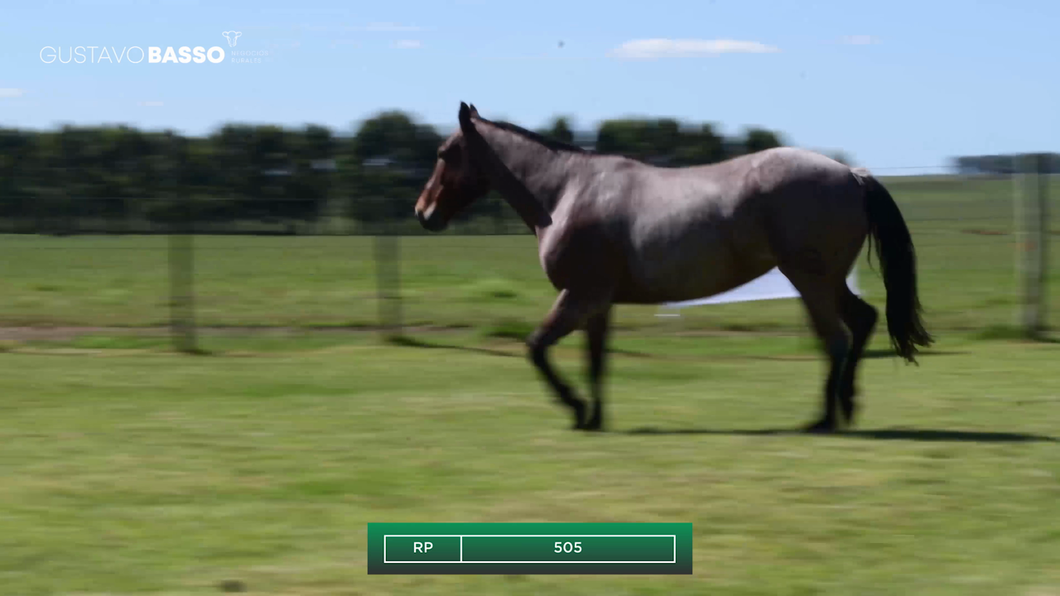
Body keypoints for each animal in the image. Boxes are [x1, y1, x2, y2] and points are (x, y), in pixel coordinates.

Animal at [409, 101, 932, 430]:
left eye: (444, 153)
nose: (423, 212)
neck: (564, 194)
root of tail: (852, 175)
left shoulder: (580, 295)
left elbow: (536, 347)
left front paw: (575, 410)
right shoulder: (598, 303)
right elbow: (596, 361)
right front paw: (594, 417)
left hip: (810, 280)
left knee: (837, 339)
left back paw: (824, 419)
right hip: (821, 281)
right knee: (861, 322)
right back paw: (846, 405)